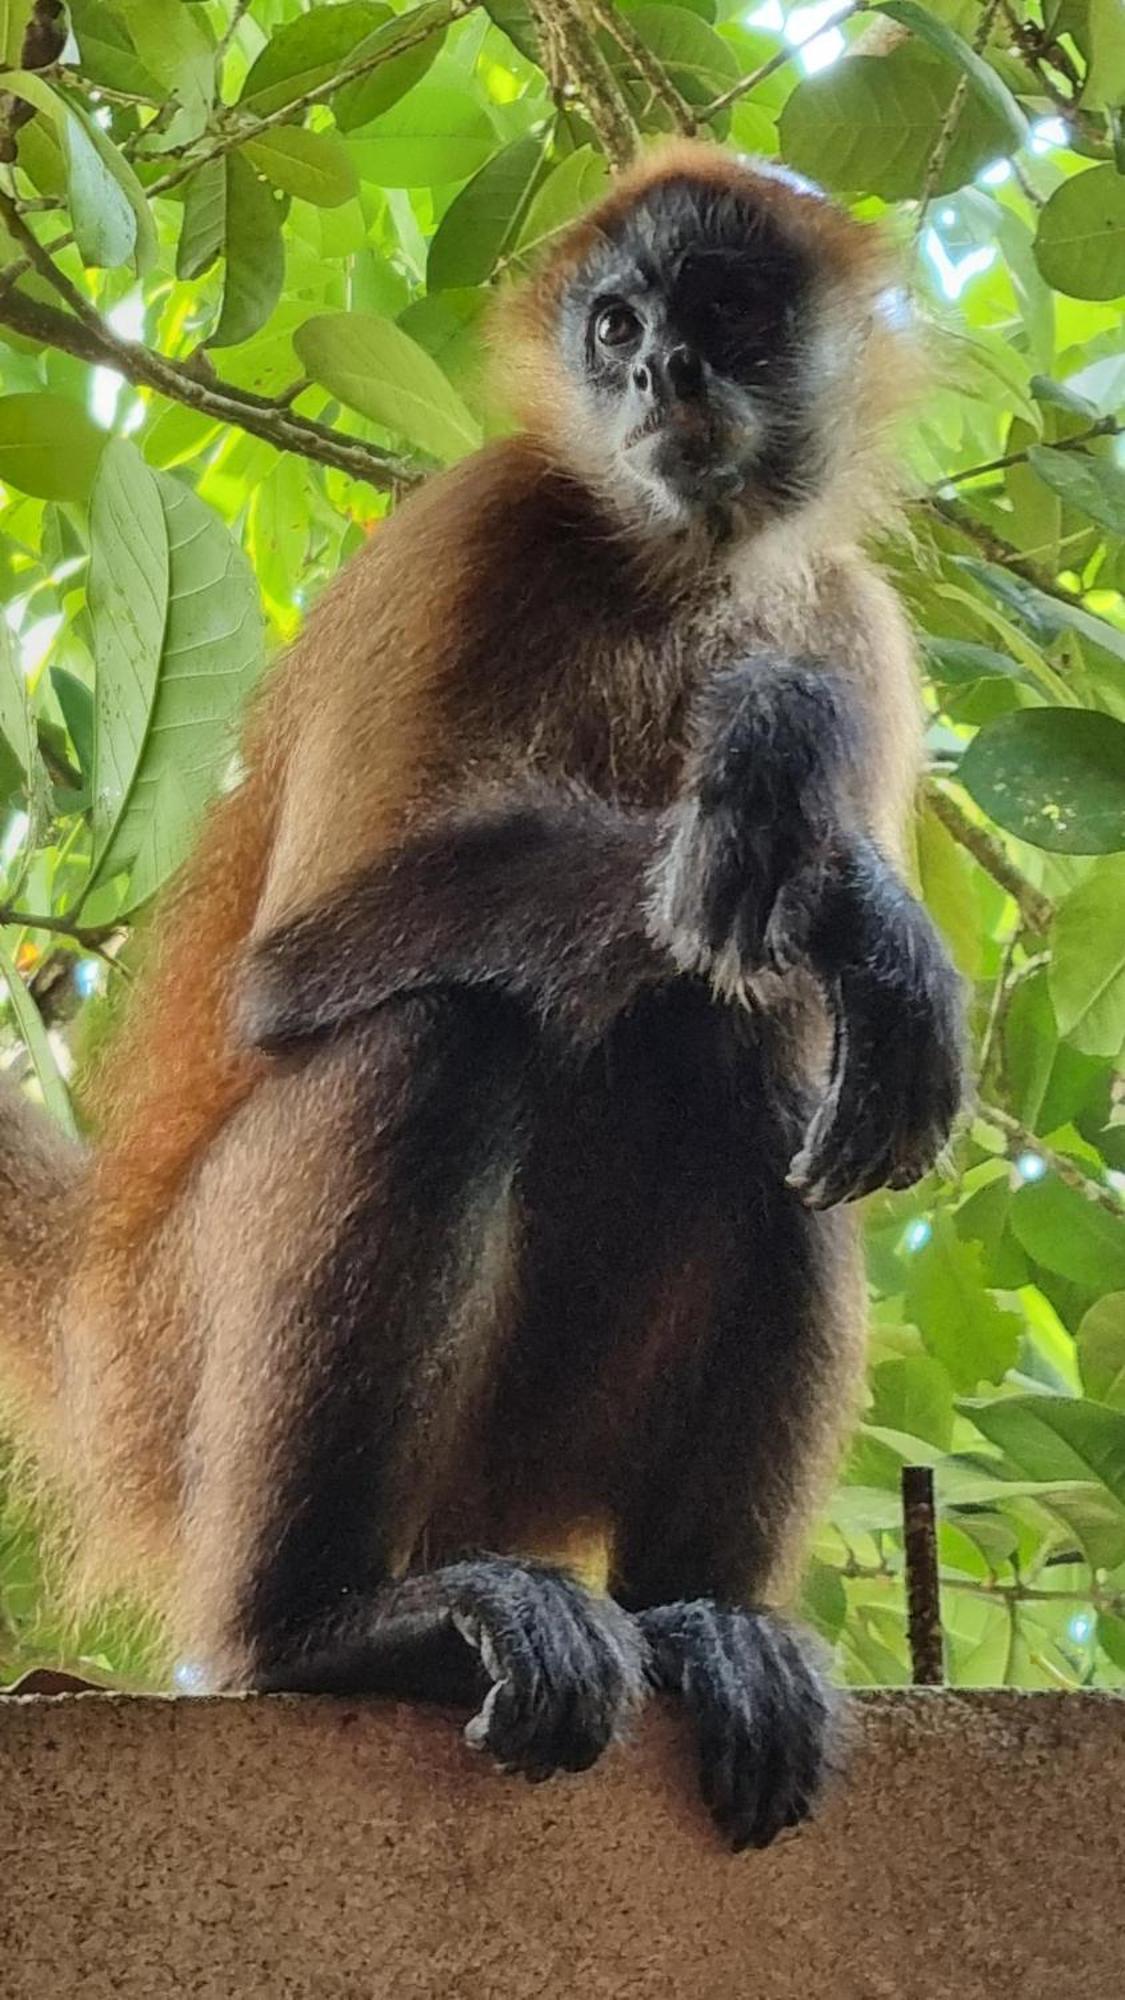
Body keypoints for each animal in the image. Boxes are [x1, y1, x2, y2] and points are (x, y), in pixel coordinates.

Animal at [2, 145, 964, 1856]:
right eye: (616, 323)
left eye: (724, 308)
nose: (661, 371)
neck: (676, 571)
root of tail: (95, 1291)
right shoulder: (482, 523)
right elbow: (290, 974)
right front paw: (838, 892)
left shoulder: (854, 618)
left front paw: (812, 841)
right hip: (184, 1363)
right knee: (446, 1033)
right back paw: (322, 1635)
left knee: (760, 1071)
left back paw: (702, 1624)